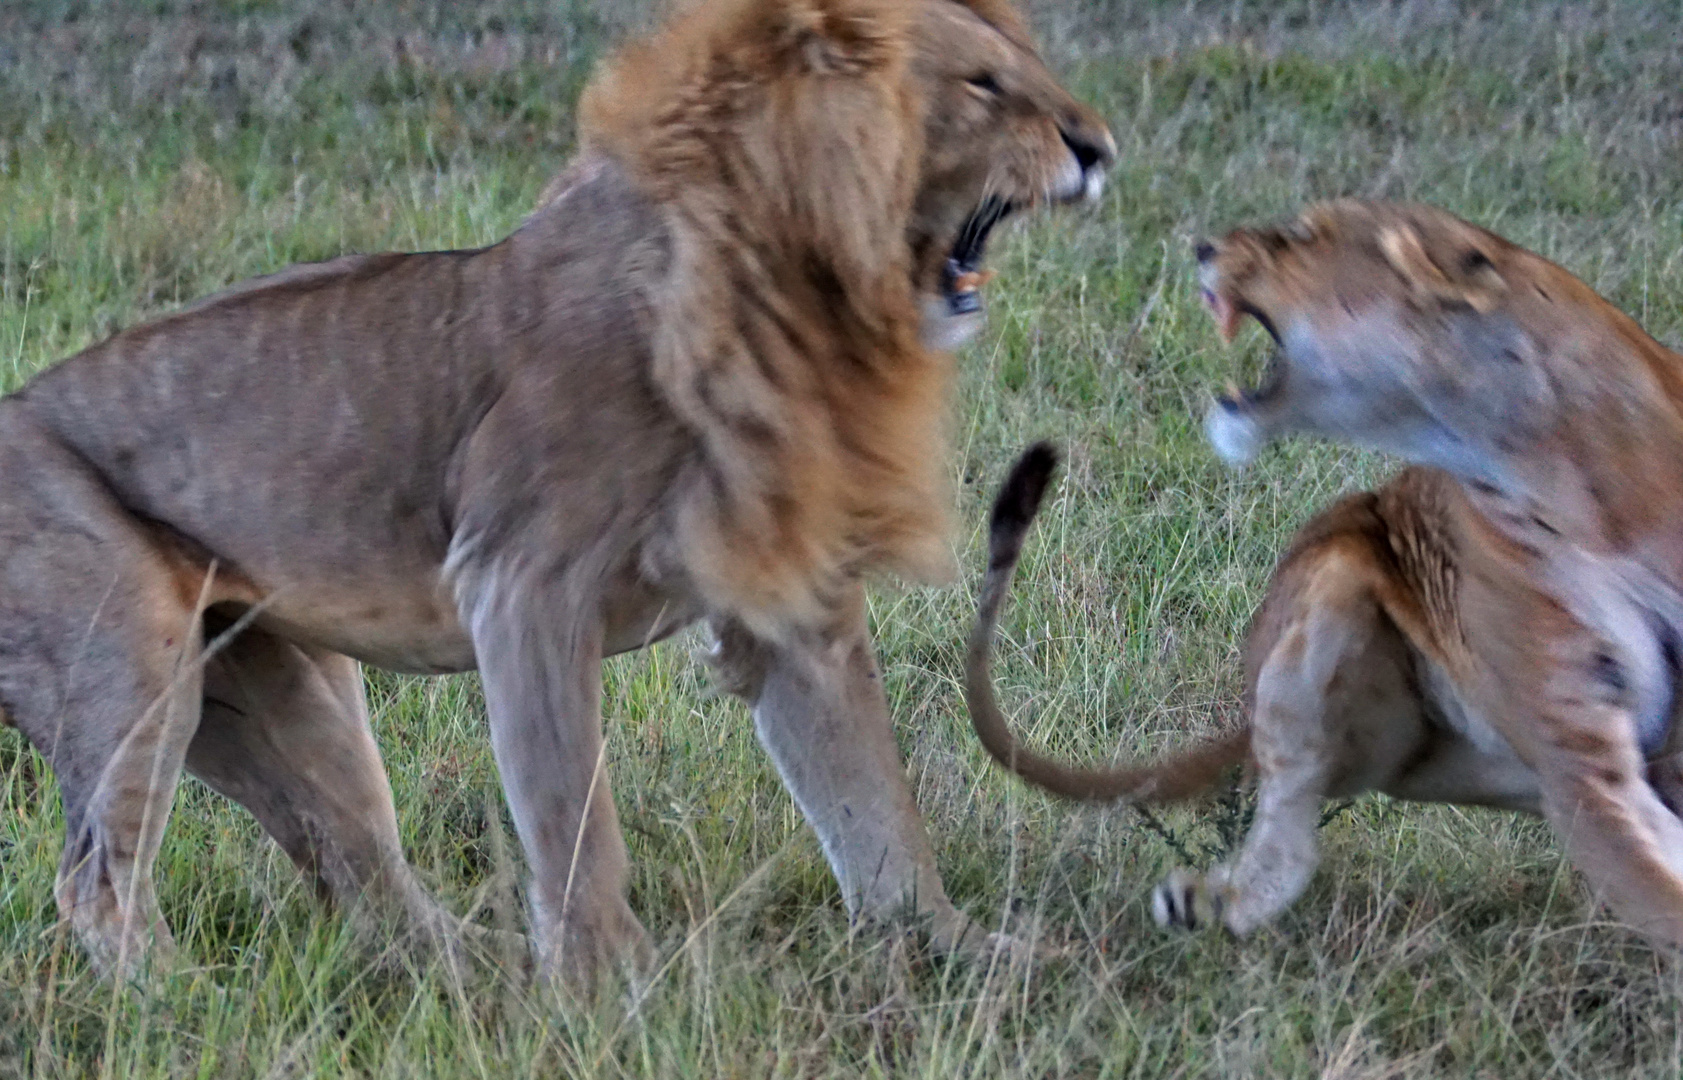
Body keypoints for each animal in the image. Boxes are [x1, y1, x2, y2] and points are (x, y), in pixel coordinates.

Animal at [13, 0, 1117, 982]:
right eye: (982, 84)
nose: (1099, 148)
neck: (786, 289)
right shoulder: (520, 583)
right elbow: (573, 817)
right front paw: (610, 993)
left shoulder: (794, 604)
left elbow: (873, 802)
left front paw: (959, 951)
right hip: (130, 663)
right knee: (98, 887)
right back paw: (185, 1008)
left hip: (284, 695)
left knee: (359, 874)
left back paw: (474, 979)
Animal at [969, 200, 1683, 942]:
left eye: (1301, 238)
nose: (1203, 248)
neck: (1570, 478)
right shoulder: (1574, 754)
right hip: (1336, 586)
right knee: (1291, 812)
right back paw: (1212, 902)